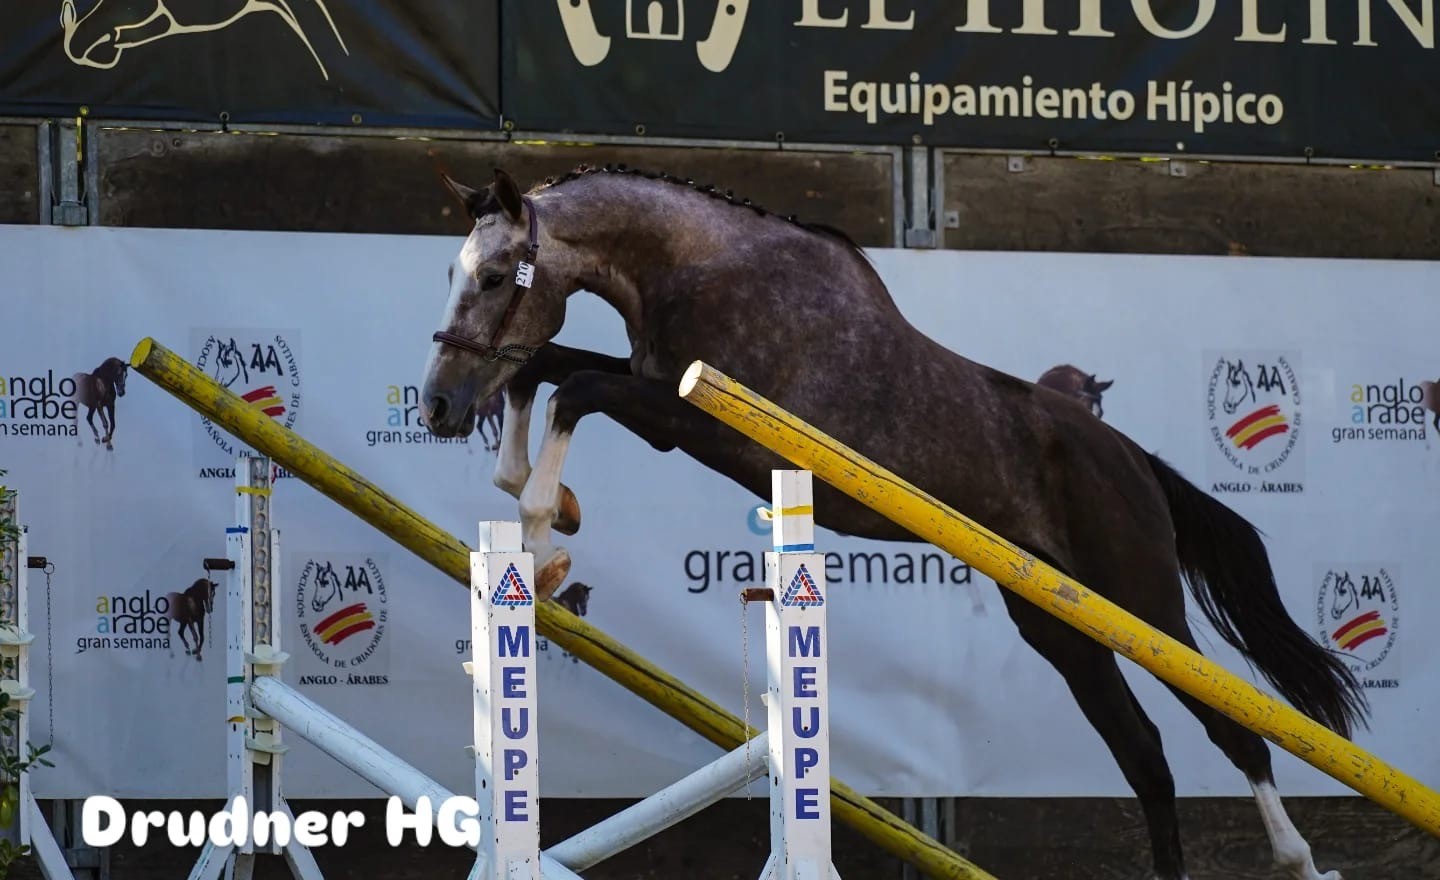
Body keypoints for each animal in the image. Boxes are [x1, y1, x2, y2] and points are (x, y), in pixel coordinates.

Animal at [417, 165, 1367, 880]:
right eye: (454, 275)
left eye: (494, 278)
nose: (435, 407)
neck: (696, 266)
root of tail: (1134, 460)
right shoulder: (659, 401)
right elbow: (546, 368)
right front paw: (540, 507)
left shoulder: (698, 421)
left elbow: (571, 387)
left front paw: (544, 538)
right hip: (1056, 624)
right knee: (1144, 753)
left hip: (1141, 603)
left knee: (1229, 725)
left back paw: (1297, 858)